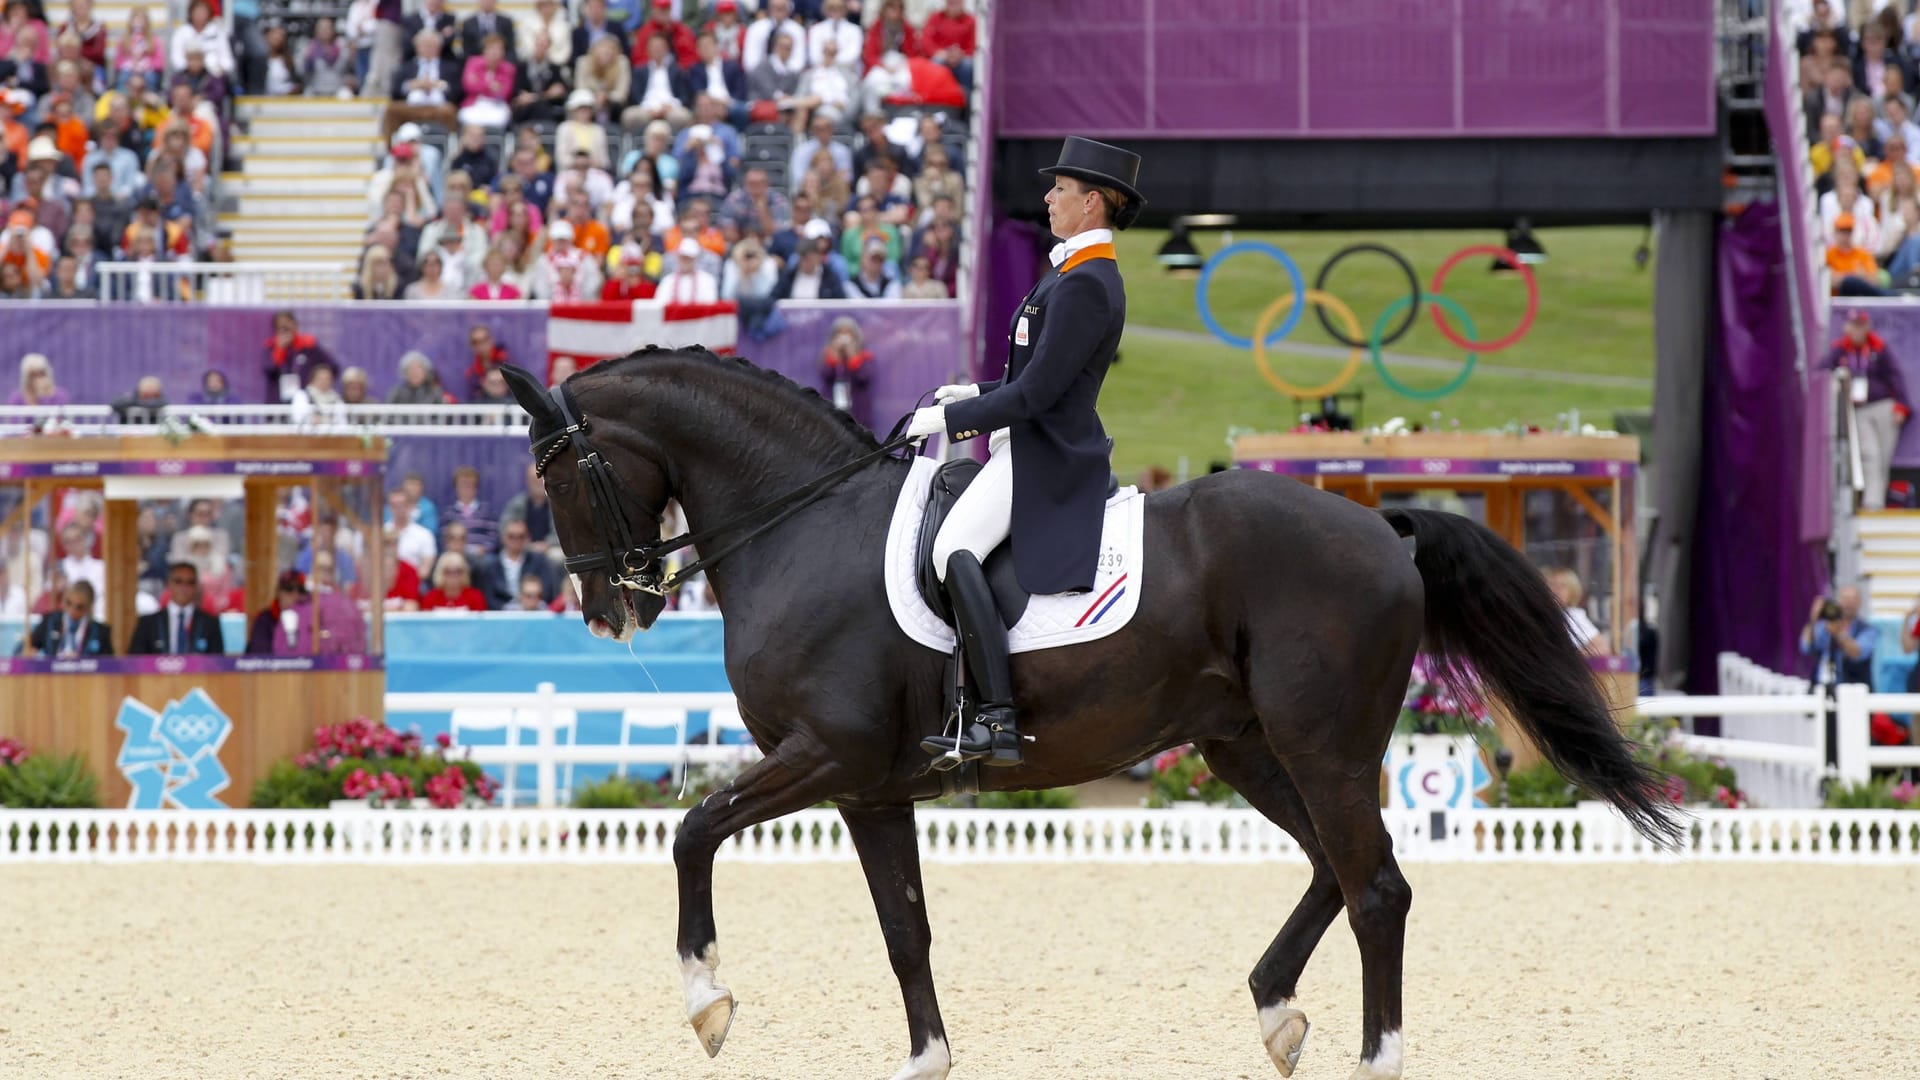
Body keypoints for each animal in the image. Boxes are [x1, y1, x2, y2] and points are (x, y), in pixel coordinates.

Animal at [499, 349, 1681, 1068]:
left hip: (1325, 743)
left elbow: (693, 831)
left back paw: (1373, 1058)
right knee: (1331, 871)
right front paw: (926, 1059)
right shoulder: (872, 789)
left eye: (556, 479)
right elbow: (905, 930)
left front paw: (706, 1001)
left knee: (1376, 887)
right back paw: (1276, 1011)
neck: (803, 526)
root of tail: (1382, 528)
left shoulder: (826, 756)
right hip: (1244, 745)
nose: (609, 609)